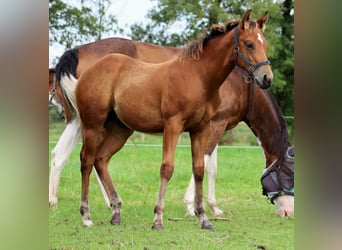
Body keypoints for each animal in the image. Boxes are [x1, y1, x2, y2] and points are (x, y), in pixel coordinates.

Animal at [57, 9, 272, 229]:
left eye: (264, 44)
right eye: (249, 44)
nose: (267, 78)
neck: (198, 77)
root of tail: (88, 72)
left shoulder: (201, 128)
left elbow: (199, 169)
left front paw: (203, 218)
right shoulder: (173, 125)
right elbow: (167, 168)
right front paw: (158, 219)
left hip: (120, 129)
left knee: (101, 159)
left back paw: (116, 211)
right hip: (92, 124)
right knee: (86, 160)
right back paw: (86, 216)